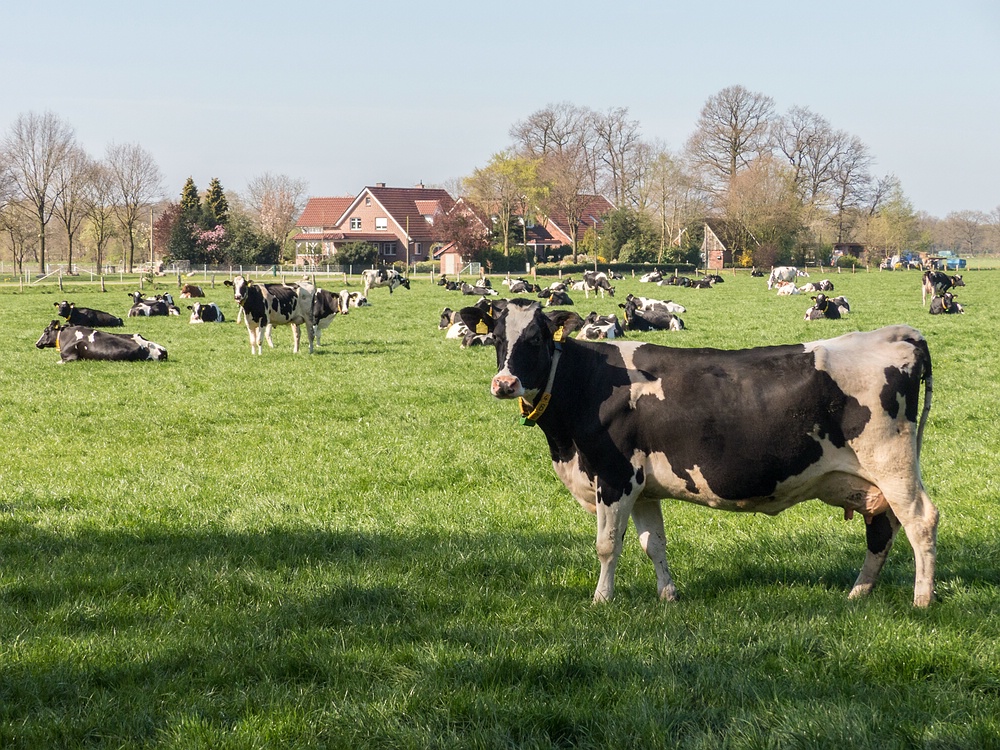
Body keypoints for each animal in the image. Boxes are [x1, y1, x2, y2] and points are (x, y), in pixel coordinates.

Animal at [458, 296, 940, 608]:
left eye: (536, 339)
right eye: (497, 337)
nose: (505, 384)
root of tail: (899, 334)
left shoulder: (614, 477)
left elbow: (607, 545)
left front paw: (601, 600)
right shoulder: (644, 488)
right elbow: (653, 544)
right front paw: (668, 596)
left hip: (894, 467)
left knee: (921, 522)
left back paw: (921, 600)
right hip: (869, 482)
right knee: (881, 530)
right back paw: (858, 593)